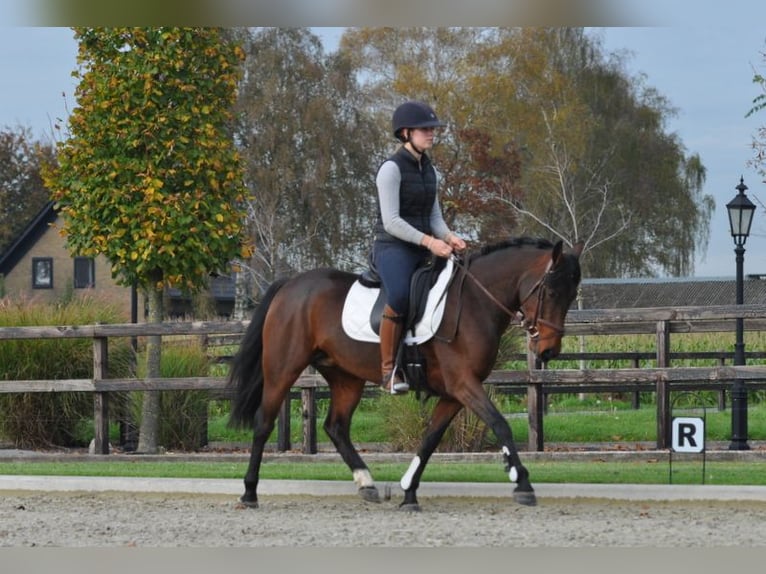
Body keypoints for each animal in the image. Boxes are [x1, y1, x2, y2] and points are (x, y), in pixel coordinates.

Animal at [226, 236, 584, 510]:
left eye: (572, 295)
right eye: (551, 292)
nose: (548, 352)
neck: (474, 301)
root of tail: (290, 284)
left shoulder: (455, 393)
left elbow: (430, 439)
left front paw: (409, 491)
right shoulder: (463, 384)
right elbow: (500, 424)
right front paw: (521, 481)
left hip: (346, 377)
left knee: (336, 426)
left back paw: (366, 482)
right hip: (282, 369)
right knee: (264, 422)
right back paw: (249, 492)